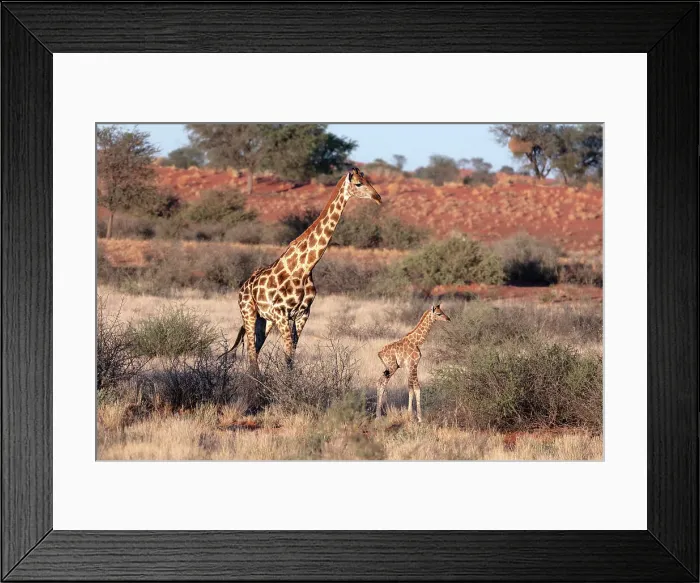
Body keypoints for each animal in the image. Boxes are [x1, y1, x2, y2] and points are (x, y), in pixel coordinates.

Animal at [229, 167, 381, 372]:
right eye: (358, 184)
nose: (378, 197)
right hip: (249, 313)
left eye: (368, 180)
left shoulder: (302, 314)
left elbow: (291, 358)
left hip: (265, 320)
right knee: (252, 354)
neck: (305, 267)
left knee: (255, 352)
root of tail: (243, 287)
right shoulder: (281, 314)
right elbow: (287, 356)